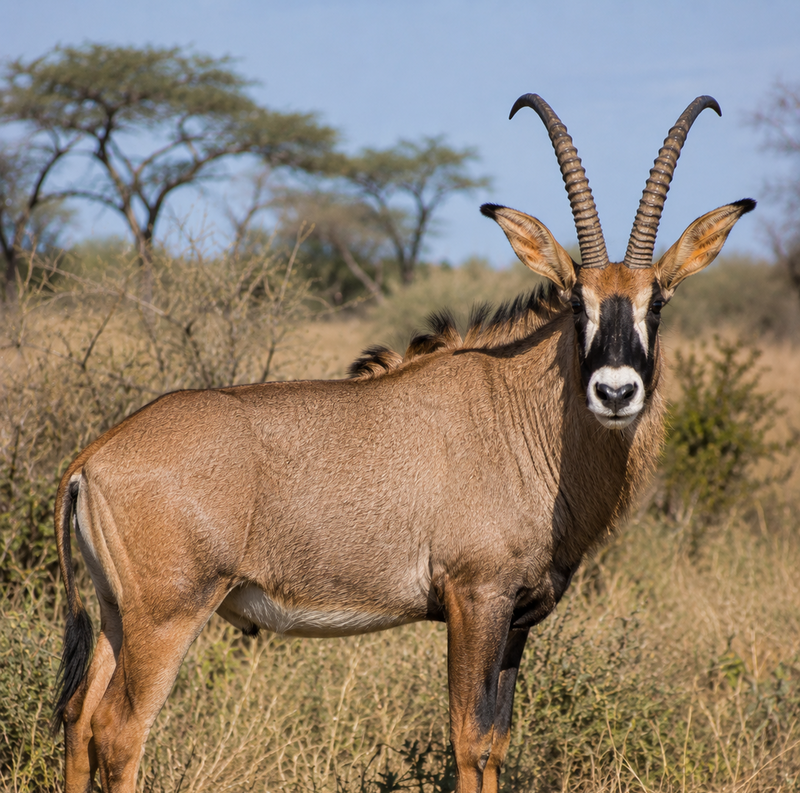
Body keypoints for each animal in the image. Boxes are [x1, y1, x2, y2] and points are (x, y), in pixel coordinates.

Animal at [53, 94, 754, 793]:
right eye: (577, 304)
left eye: (656, 303)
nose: (615, 391)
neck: (519, 416)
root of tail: (94, 459)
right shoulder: (476, 599)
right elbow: (470, 741)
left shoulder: (517, 619)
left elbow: (497, 744)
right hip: (168, 617)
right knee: (120, 731)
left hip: (117, 616)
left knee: (80, 721)